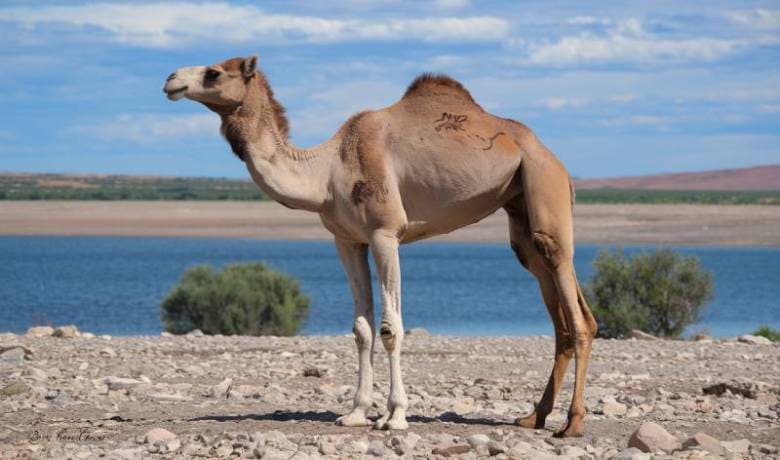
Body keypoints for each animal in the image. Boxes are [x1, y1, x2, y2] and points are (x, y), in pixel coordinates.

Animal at [163, 55, 596, 436]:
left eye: (214, 72)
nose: (170, 79)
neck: (326, 171)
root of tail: (552, 157)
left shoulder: (386, 233)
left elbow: (390, 328)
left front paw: (395, 417)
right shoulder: (347, 239)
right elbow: (361, 328)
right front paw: (355, 413)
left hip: (545, 186)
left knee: (574, 311)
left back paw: (572, 425)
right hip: (519, 210)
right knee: (556, 305)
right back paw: (534, 417)